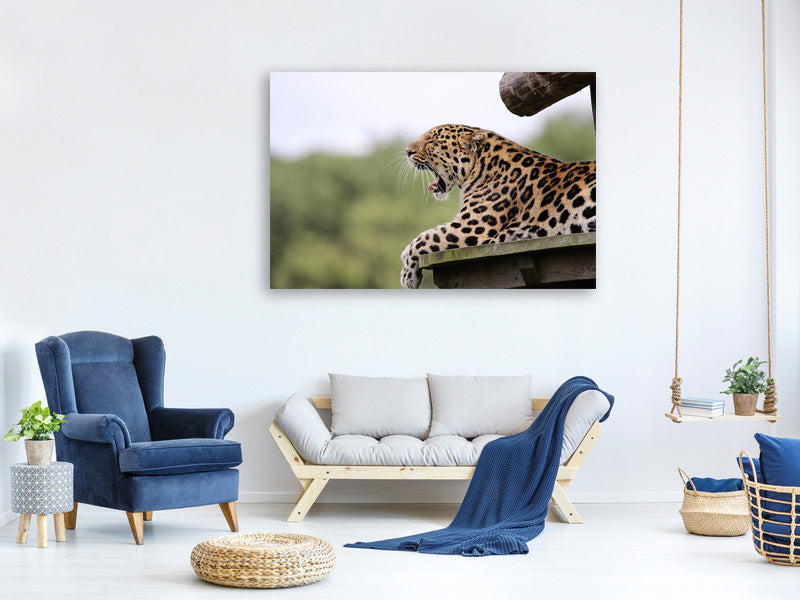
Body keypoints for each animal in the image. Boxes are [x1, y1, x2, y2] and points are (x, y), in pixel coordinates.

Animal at [400, 124, 596, 289]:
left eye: (433, 142)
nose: (407, 151)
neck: (481, 168)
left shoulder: (471, 227)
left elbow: (424, 238)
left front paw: (407, 275)